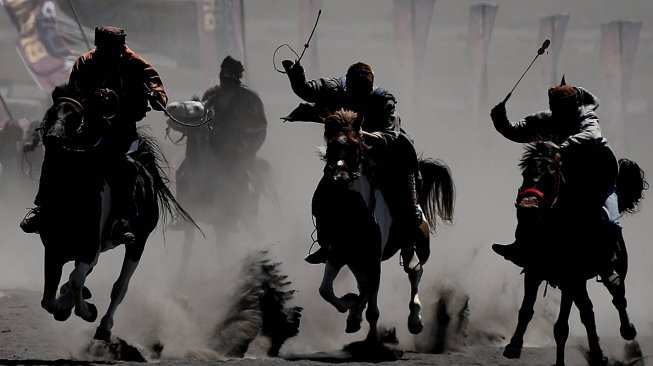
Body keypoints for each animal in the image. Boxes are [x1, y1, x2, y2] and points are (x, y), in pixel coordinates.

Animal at [36, 84, 192, 342]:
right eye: (51, 112)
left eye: (75, 115)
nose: (54, 138)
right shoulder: (54, 250)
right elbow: (49, 299)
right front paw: (64, 304)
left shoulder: (89, 248)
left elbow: (77, 280)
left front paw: (88, 311)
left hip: (137, 244)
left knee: (119, 287)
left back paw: (104, 326)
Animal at [164, 98, 278, 282]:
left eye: (197, 108)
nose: (171, 107)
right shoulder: (191, 223)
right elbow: (186, 256)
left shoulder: (221, 221)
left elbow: (222, 254)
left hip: (245, 217)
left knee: (254, 237)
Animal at [310, 110, 454, 344]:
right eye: (330, 146)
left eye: (355, 145)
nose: (341, 178)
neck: (352, 212)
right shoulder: (338, 253)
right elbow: (326, 290)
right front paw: (350, 307)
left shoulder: (373, 258)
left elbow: (372, 306)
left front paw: (370, 334)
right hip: (357, 259)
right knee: (364, 284)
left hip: (414, 242)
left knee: (415, 271)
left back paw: (415, 320)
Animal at [496, 141, 644, 366]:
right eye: (525, 173)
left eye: (551, 176)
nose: (527, 208)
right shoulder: (534, 272)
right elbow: (526, 310)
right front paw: (513, 346)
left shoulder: (570, 280)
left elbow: (561, 328)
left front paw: (559, 362)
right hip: (580, 285)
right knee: (588, 312)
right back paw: (598, 354)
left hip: (611, 270)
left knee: (618, 297)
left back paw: (627, 331)